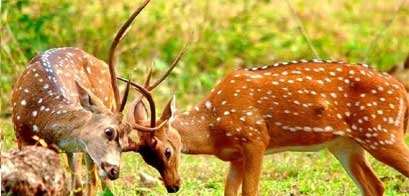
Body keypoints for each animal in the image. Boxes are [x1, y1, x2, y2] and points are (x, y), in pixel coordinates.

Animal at [125, 59, 408, 196]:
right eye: (147, 159)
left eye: (168, 151)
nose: (173, 187)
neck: (212, 126)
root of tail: (402, 91)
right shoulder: (235, 157)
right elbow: (230, 192)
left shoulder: (254, 138)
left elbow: (250, 191)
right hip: (345, 145)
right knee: (375, 186)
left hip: (383, 133)